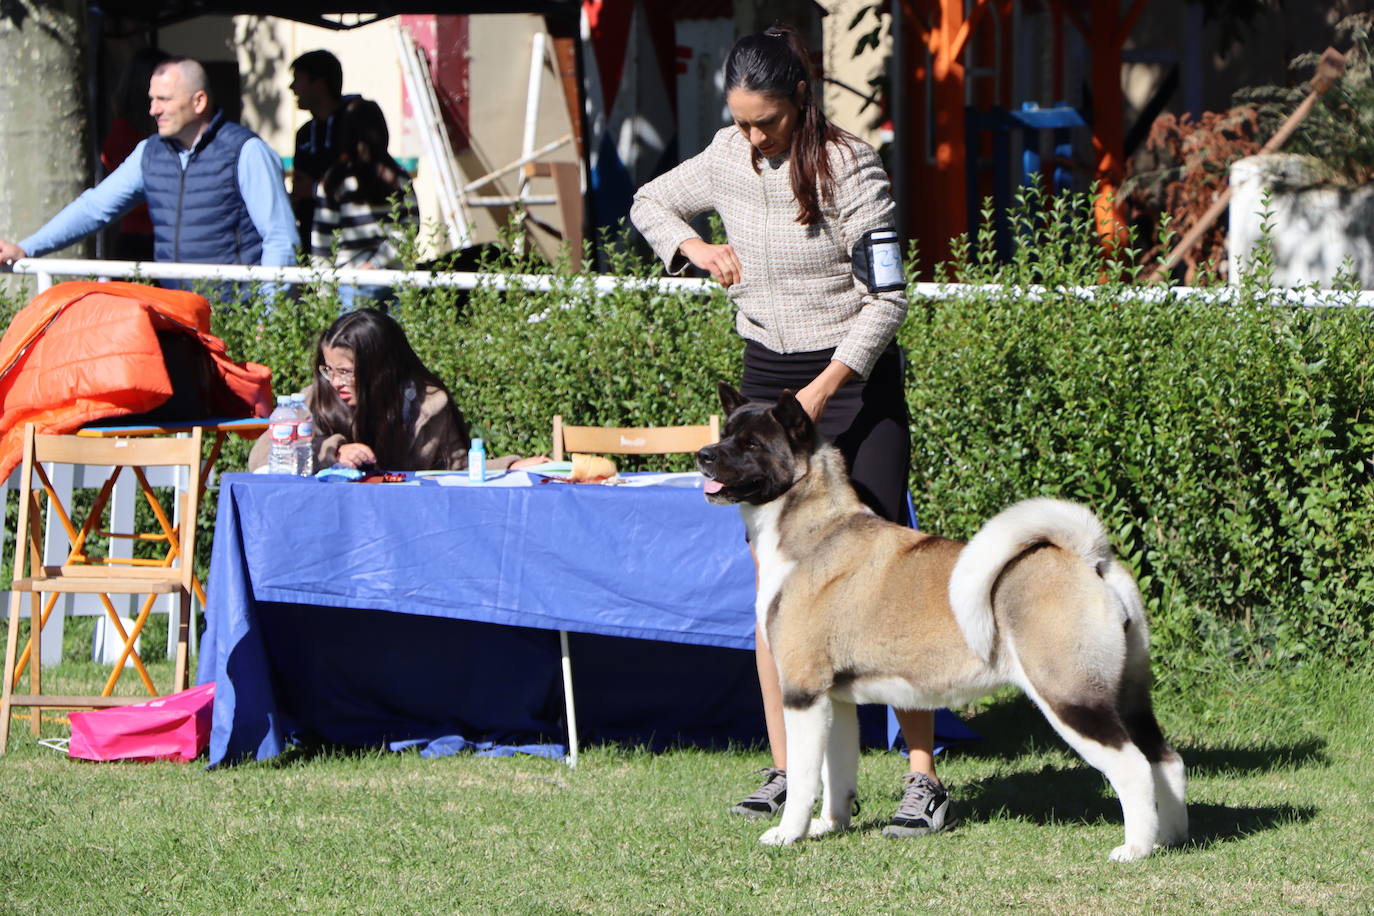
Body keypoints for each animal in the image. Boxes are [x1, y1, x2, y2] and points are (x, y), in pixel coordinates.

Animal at [692, 384, 1187, 862]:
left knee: (1133, 767)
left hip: (1071, 696)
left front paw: (787, 833)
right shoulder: (836, 700)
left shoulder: (802, 693)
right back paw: (1169, 838)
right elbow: (836, 776)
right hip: (1125, 696)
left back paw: (1135, 849)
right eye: (726, 433)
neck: (815, 535)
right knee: (1166, 761)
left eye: (751, 443)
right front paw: (829, 826)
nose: (704, 454)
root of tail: (1088, 557)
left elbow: (803, 779)